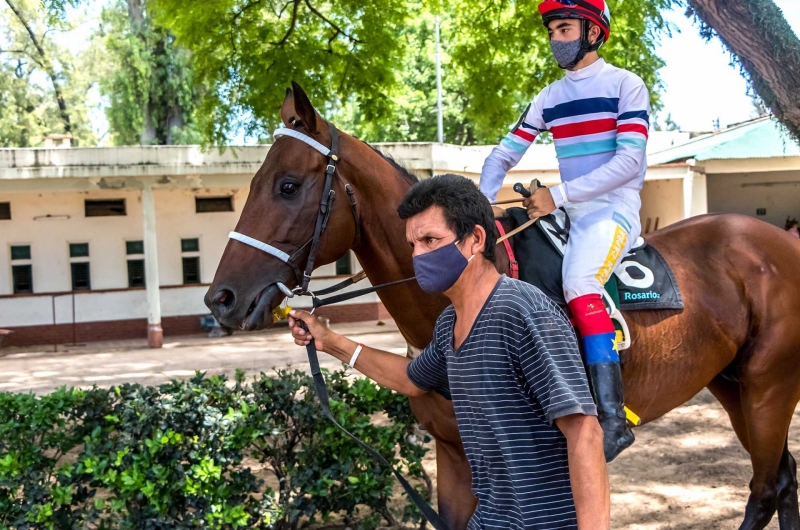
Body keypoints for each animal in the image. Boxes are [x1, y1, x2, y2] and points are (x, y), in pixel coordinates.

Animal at [205, 82, 800, 528]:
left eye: (287, 185)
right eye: (252, 183)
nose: (220, 298)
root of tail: (780, 240)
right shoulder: (454, 453)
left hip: (769, 387)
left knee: (766, 486)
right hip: (732, 385)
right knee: (782, 480)